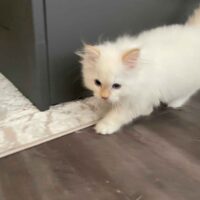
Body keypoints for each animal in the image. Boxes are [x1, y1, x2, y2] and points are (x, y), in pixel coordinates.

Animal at [76, 5, 200, 134]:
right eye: (97, 83)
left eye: (116, 86)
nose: (104, 97)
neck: (140, 75)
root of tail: (194, 30)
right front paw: (147, 111)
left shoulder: (136, 101)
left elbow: (117, 115)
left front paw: (104, 126)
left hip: (187, 82)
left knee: (188, 92)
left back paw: (175, 103)